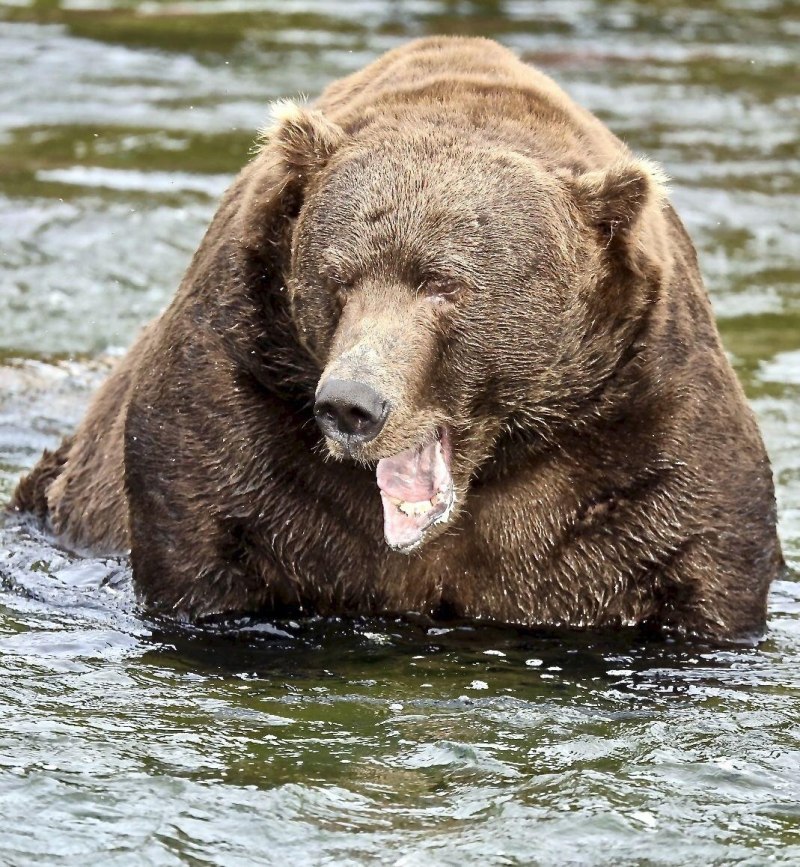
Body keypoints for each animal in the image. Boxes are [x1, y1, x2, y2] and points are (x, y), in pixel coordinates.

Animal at [11, 36, 783, 640]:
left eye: (445, 284)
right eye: (339, 276)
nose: (351, 404)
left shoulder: (644, 430)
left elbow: (695, 552)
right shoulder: (235, 396)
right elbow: (207, 539)